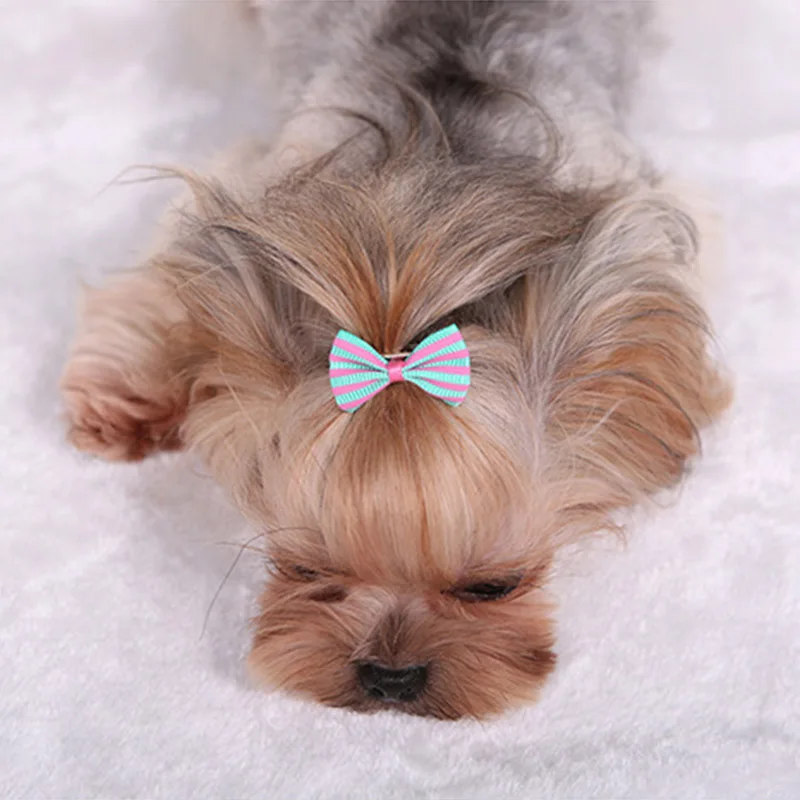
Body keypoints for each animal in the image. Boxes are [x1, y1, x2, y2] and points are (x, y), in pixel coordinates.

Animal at [60, 1, 730, 719]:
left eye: (495, 585)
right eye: (306, 569)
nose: (390, 678)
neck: (420, 222)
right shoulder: (265, 192)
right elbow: (169, 277)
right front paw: (128, 402)